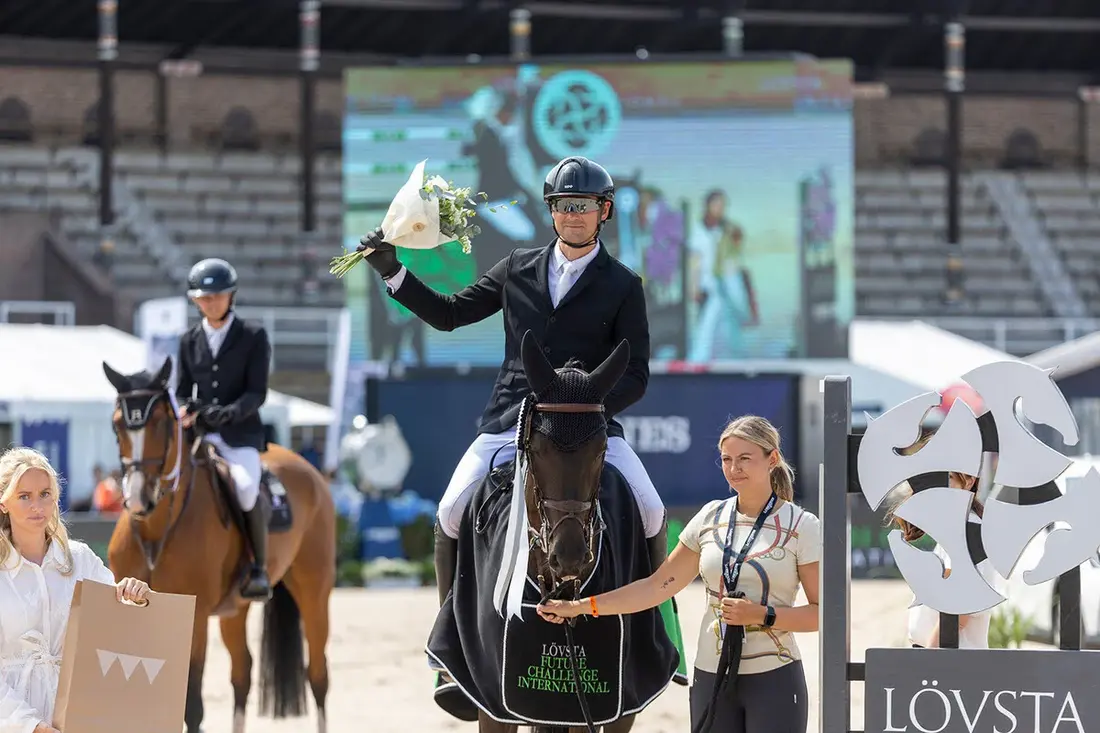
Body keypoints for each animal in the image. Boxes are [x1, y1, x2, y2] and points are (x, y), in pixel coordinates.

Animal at [102, 358, 334, 730]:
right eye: (117, 424)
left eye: (160, 422)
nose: (138, 500)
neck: (156, 528)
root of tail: (308, 468)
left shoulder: (194, 616)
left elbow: (192, 705)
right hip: (235, 609)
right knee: (243, 672)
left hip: (314, 591)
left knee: (318, 676)